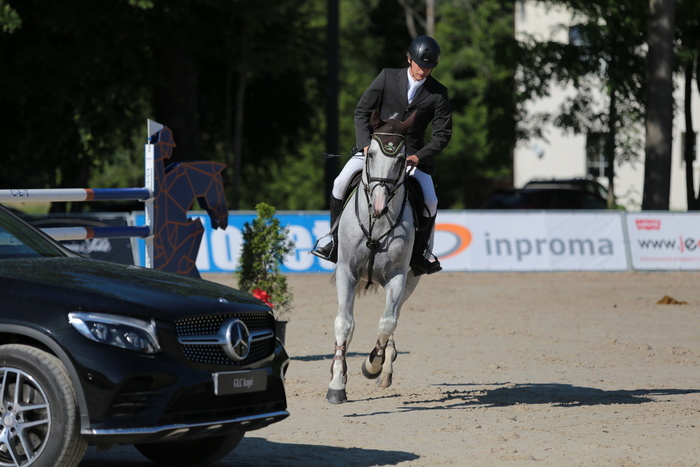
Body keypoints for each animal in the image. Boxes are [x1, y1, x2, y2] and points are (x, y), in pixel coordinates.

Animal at [327, 111, 422, 404]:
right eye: (371, 155)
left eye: (401, 159)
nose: (379, 205)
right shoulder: (346, 271)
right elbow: (344, 323)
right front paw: (337, 383)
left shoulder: (398, 276)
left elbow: (387, 322)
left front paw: (373, 365)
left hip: (410, 283)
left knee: (394, 315)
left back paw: (385, 369)